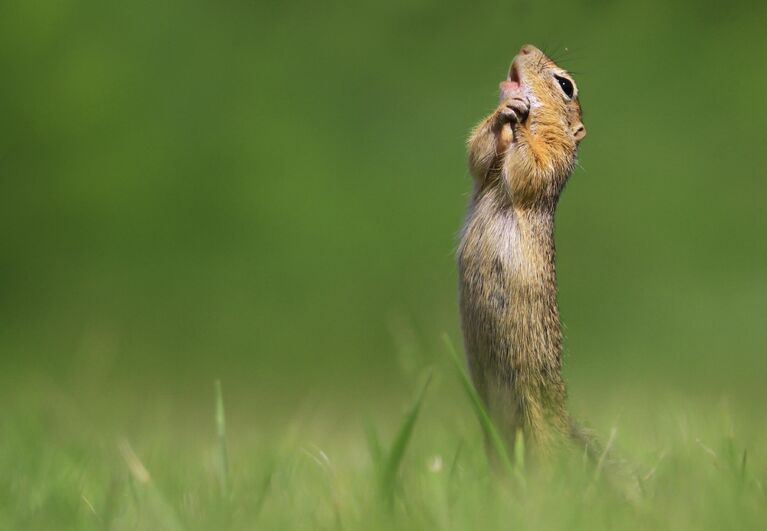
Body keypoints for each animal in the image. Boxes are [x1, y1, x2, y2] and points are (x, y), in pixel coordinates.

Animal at [460, 44, 592, 462]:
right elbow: (479, 153)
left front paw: (518, 116)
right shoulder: (485, 169)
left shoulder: (552, 159)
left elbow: (529, 168)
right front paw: (505, 112)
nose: (525, 48)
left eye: (566, 85)